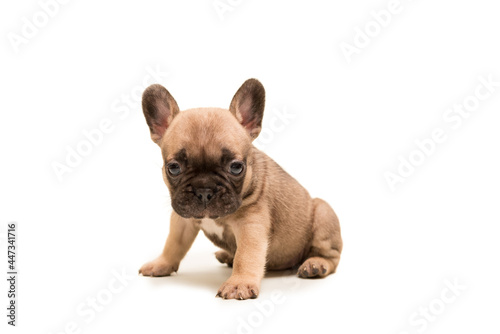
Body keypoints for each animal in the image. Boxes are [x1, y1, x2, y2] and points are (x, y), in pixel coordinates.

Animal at [139, 79, 342, 300]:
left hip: (323, 213)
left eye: (236, 167)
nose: (204, 190)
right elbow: (173, 243)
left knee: (331, 256)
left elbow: (246, 256)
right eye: (174, 168)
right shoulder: (182, 219)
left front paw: (239, 283)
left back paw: (316, 264)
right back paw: (227, 255)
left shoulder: (251, 225)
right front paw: (162, 263)